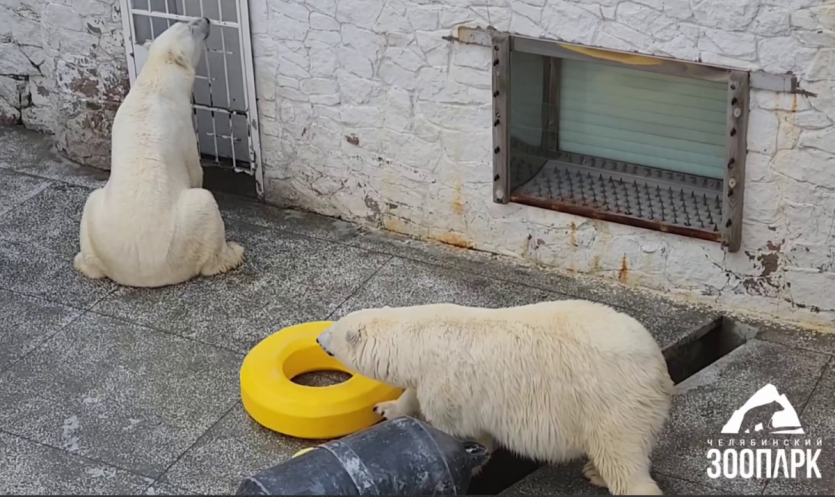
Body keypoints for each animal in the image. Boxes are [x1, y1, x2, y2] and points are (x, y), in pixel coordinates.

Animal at [74, 18, 245, 286]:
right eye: (190, 27)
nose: (206, 20)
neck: (155, 85)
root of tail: (147, 274)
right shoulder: (182, 124)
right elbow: (194, 169)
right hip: (185, 233)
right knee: (205, 207)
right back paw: (233, 252)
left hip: (97, 222)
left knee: (91, 205)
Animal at [316, 300, 676, 494]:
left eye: (333, 331)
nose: (318, 338)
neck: (420, 338)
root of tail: (659, 368)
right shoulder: (427, 377)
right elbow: (411, 396)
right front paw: (385, 408)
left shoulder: (449, 385)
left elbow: (458, 429)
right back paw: (594, 473)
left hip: (611, 403)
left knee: (622, 458)